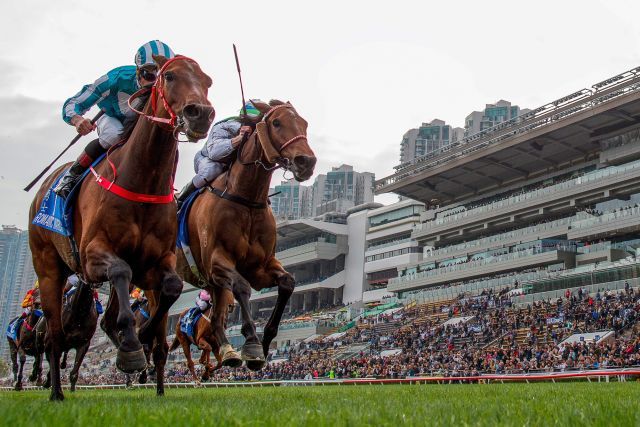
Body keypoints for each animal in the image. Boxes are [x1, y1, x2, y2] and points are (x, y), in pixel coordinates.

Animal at [28, 54, 215, 402]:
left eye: (207, 81)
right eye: (169, 76)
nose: (200, 113)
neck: (142, 178)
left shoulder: (157, 262)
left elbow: (170, 289)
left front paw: (142, 338)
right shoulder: (94, 255)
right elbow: (119, 272)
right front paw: (130, 346)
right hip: (47, 268)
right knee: (54, 335)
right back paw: (56, 391)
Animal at [176, 99, 316, 372]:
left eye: (305, 123)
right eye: (276, 122)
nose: (306, 161)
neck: (246, 198)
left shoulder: (260, 267)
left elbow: (288, 283)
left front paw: (265, 344)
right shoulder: (217, 261)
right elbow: (241, 287)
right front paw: (251, 344)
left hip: (213, 284)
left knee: (216, 317)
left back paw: (227, 352)